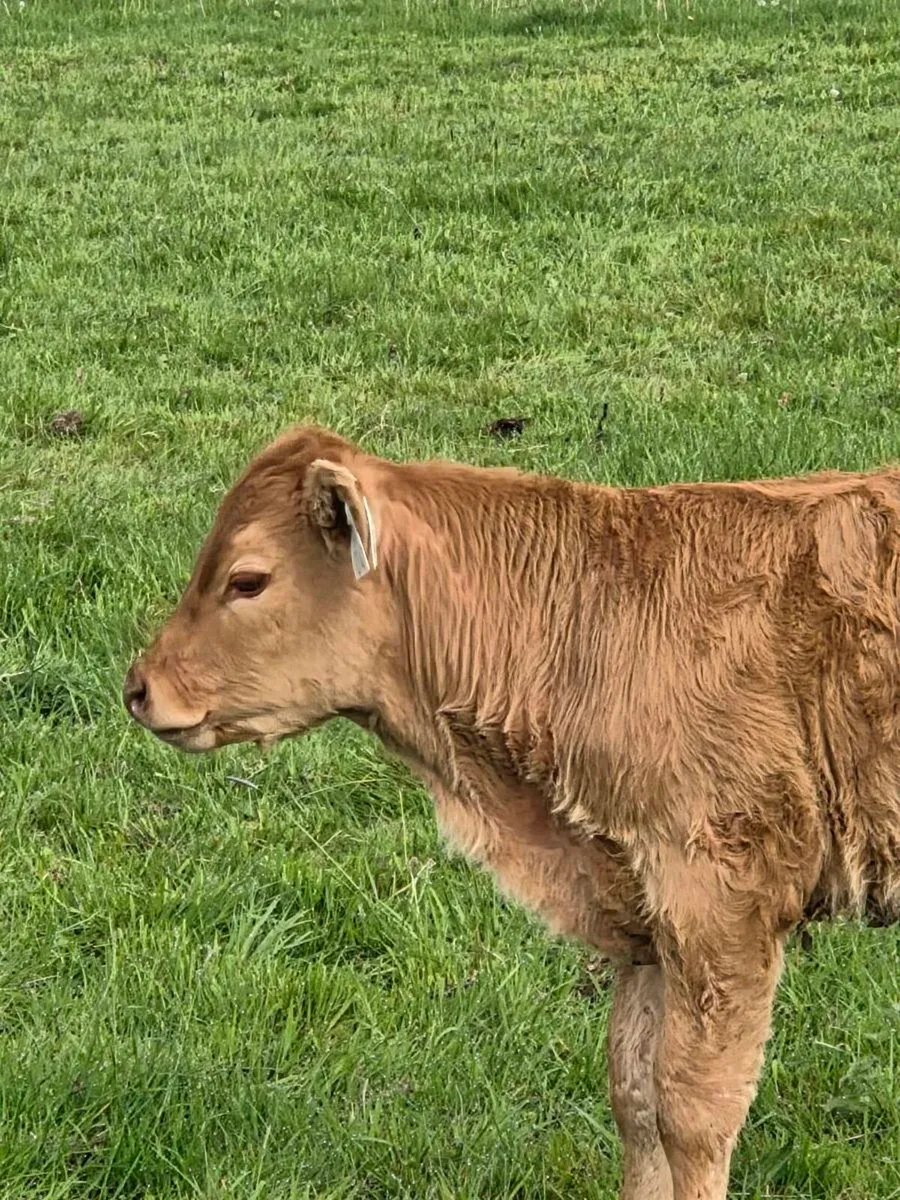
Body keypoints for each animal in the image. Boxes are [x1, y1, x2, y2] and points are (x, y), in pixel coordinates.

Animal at [124, 424, 900, 1200]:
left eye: (247, 580)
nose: (138, 688)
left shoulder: (721, 905)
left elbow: (693, 1113)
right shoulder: (646, 921)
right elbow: (634, 1092)